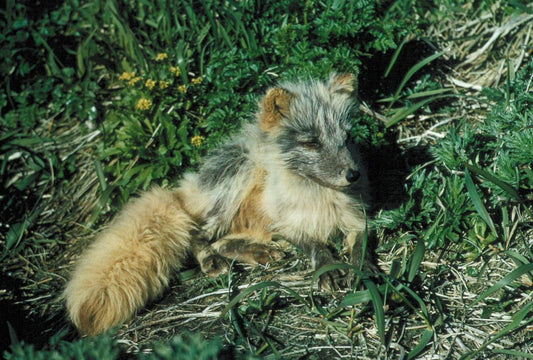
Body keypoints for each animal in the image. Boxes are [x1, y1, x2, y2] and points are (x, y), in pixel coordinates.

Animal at [63, 73, 370, 334]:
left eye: (346, 138)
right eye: (311, 143)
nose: (353, 175)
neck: (322, 198)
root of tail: (190, 185)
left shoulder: (359, 221)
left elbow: (362, 249)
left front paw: (363, 275)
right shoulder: (288, 224)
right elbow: (316, 246)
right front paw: (329, 267)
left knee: (223, 241)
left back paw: (258, 252)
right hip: (236, 181)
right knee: (197, 236)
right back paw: (213, 260)